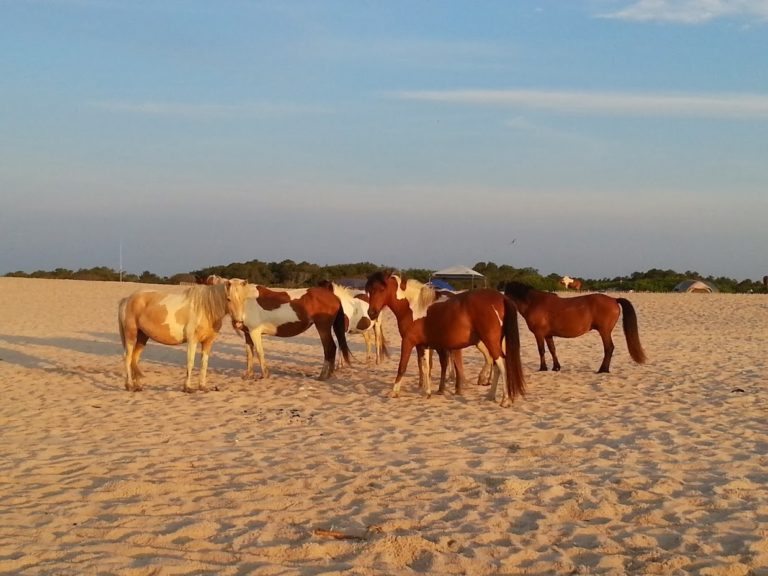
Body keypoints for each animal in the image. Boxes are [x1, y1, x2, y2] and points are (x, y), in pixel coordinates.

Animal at [118, 279, 250, 392]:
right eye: (228, 299)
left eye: (244, 299)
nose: (238, 323)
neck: (205, 309)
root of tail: (127, 299)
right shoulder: (192, 340)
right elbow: (190, 362)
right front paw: (188, 388)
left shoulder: (208, 342)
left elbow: (204, 364)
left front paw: (202, 387)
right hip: (131, 335)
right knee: (128, 357)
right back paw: (129, 385)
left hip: (142, 337)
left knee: (134, 358)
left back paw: (138, 386)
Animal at [366, 270, 526, 407]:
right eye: (369, 290)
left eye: (381, 289)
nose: (371, 313)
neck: (412, 307)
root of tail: (502, 297)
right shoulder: (423, 345)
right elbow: (426, 367)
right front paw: (427, 392)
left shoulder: (408, 342)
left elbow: (402, 366)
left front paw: (394, 392)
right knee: (497, 365)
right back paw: (490, 395)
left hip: (490, 341)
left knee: (502, 364)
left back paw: (505, 400)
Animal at [503, 281, 647, 373]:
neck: (534, 303)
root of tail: (613, 299)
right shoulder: (548, 335)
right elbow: (552, 350)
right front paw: (556, 367)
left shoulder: (539, 334)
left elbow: (541, 350)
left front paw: (543, 368)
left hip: (604, 331)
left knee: (609, 348)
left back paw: (603, 370)